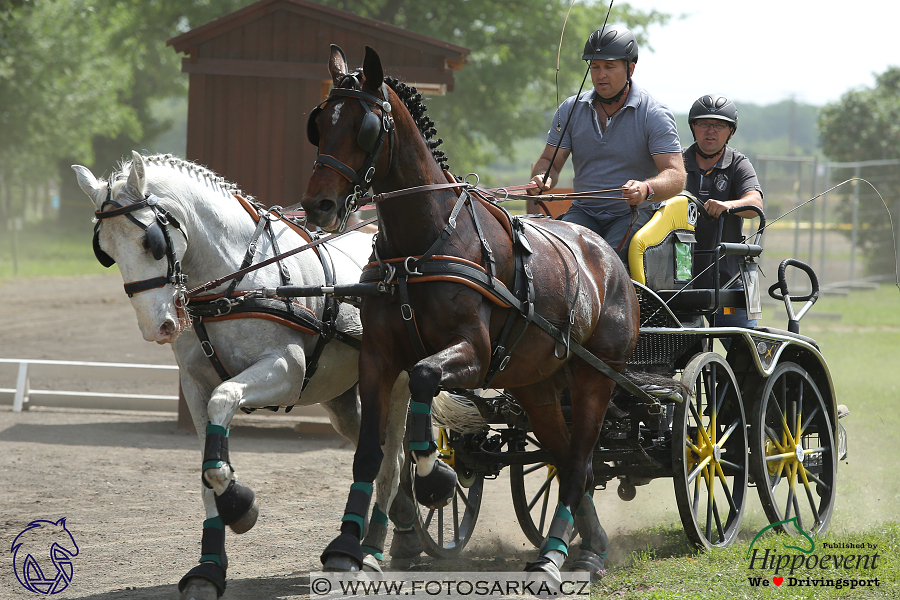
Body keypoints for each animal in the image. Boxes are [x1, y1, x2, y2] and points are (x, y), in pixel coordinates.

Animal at [71, 155, 426, 600]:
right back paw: (402, 531)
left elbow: (225, 398)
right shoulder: (194, 386)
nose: (159, 328)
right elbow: (208, 468)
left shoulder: (286, 370)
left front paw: (241, 503)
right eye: (105, 252)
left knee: (391, 460)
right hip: (341, 399)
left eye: (151, 242)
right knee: (373, 449)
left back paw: (375, 551)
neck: (236, 280)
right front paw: (209, 567)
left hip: (394, 382)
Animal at [302, 43, 640, 580]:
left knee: (580, 460)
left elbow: (423, 379)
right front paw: (347, 545)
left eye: (365, 127)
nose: (318, 204)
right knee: (565, 456)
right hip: (535, 385)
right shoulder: (377, 358)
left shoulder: (474, 354)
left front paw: (436, 476)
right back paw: (590, 545)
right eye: (320, 123)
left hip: (597, 377)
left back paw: (554, 555)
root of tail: (607, 258)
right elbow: (371, 452)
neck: (422, 245)